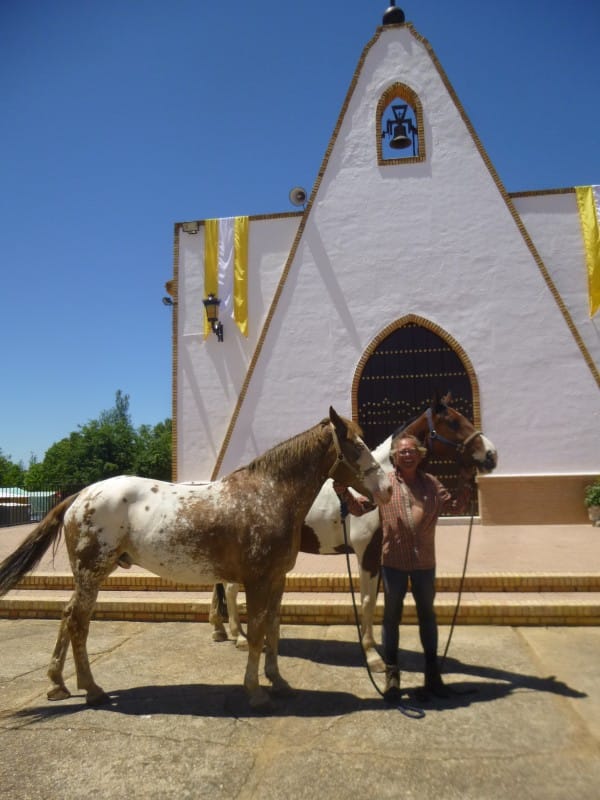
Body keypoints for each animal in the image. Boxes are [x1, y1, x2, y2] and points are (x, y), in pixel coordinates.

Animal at [0, 410, 392, 708]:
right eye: (356, 446)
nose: (386, 490)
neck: (269, 494)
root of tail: (79, 496)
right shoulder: (258, 580)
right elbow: (256, 633)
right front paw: (255, 692)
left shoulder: (277, 580)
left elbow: (273, 630)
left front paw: (278, 682)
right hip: (91, 573)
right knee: (78, 623)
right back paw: (92, 690)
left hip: (89, 576)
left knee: (68, 617)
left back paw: (58, 684)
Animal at [211, 392, 496, 668]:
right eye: (454, 422)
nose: (491, 455)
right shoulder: (366, 552)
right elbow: (367, 601)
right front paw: (371, 655)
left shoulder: (378, 554)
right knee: (231, 588)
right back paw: (239, 637)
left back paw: (224, 631)